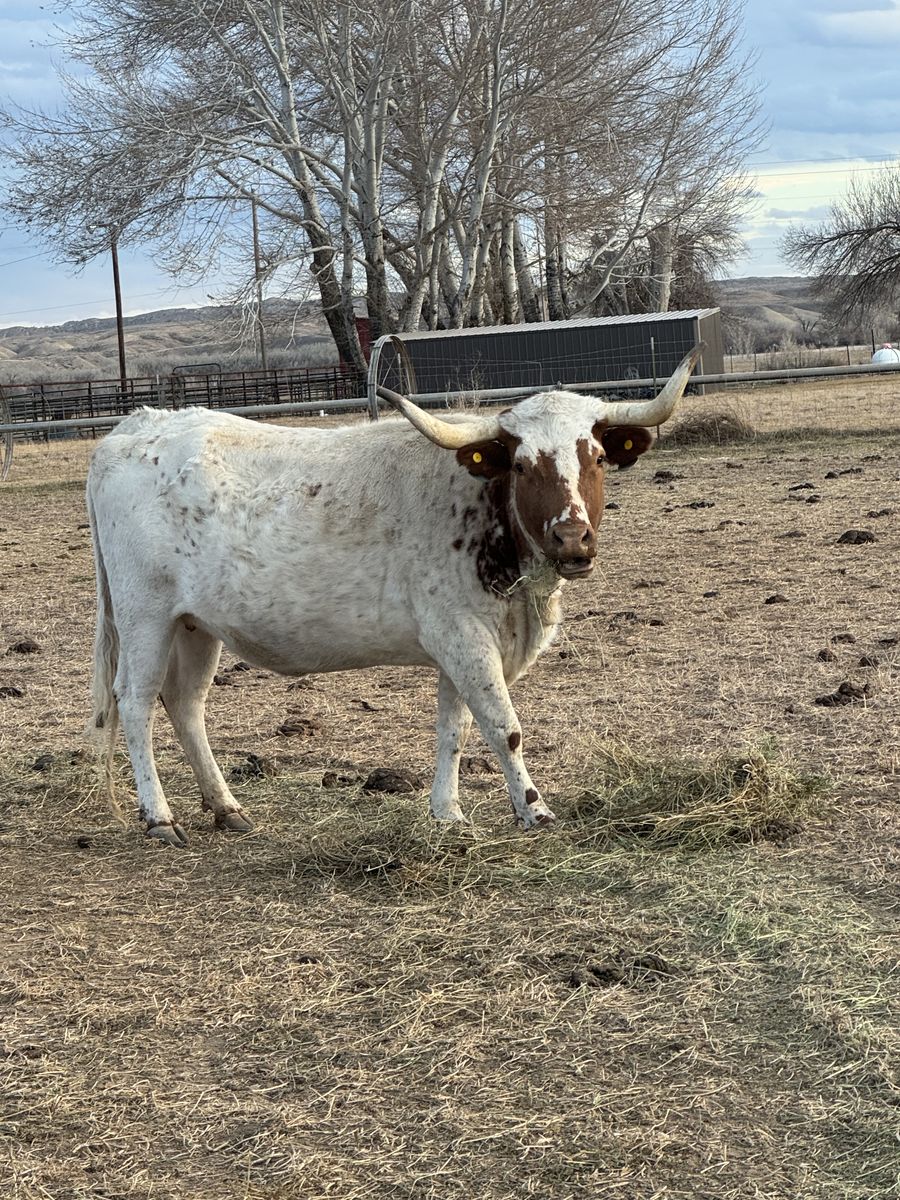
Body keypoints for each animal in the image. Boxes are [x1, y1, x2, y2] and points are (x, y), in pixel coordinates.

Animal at [86, 346, 701, 846]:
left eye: (595, 457)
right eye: (524, 465)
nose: (572, 538)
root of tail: (133, 428)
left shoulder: (459, 646)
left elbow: (454, 727)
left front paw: (447, 813)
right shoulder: (464, 637)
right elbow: (504, 727)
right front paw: (535, 811)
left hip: (195, 625)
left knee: (186, 704)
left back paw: (226, 808)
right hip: (144, 618)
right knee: (135, 702)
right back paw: (160, 817)